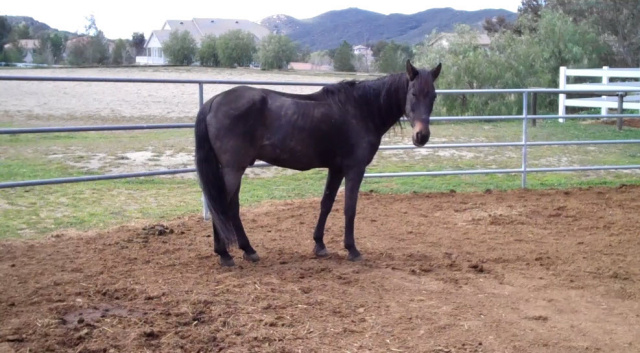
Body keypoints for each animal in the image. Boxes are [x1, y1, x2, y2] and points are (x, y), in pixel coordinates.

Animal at [194, 60, 440, 266]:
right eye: (413, 93)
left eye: (433, 96)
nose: (421, 136)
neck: (361, 109)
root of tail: (213, 102)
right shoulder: (354, 169)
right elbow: (350, 208)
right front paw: (352, 249)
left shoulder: (336, 169)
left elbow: (326, 203)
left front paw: (319, 245)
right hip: (233, 169)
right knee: (221, 206)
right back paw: (225, 254)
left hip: (234, 169)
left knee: (231, 208)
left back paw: (248, 250)